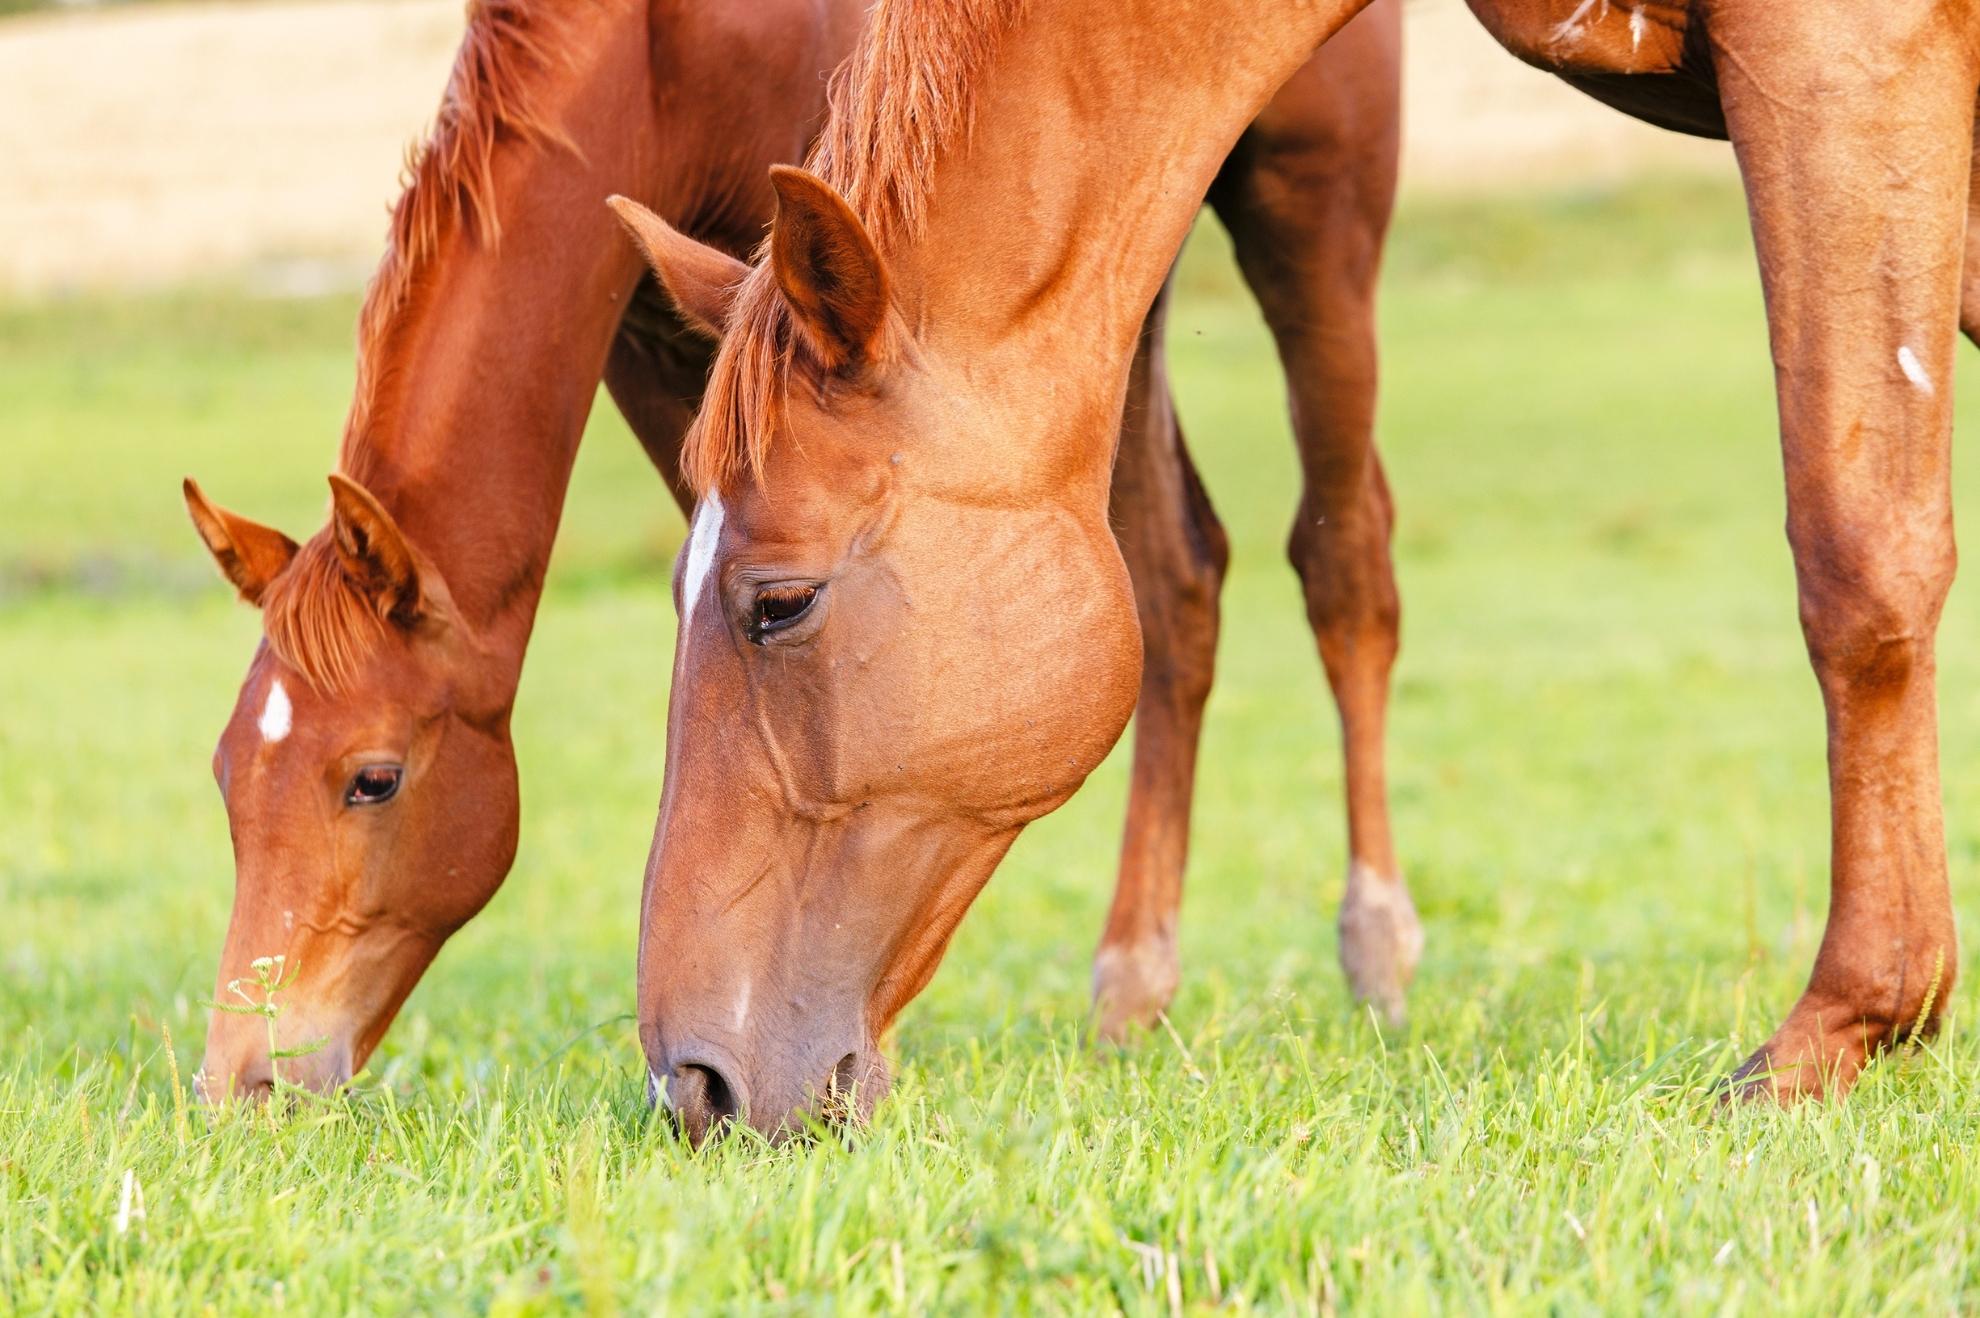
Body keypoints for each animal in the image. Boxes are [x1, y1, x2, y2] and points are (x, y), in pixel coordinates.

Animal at [174, 0, 1409, 1092]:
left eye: (372, 781)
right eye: (229, 776)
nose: (243, 1078)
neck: (666, 48)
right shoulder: (671, 328)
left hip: (1310, 207)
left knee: (1342, 563)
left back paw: (1378, 953)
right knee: (1178, 577)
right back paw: (1132, 989)